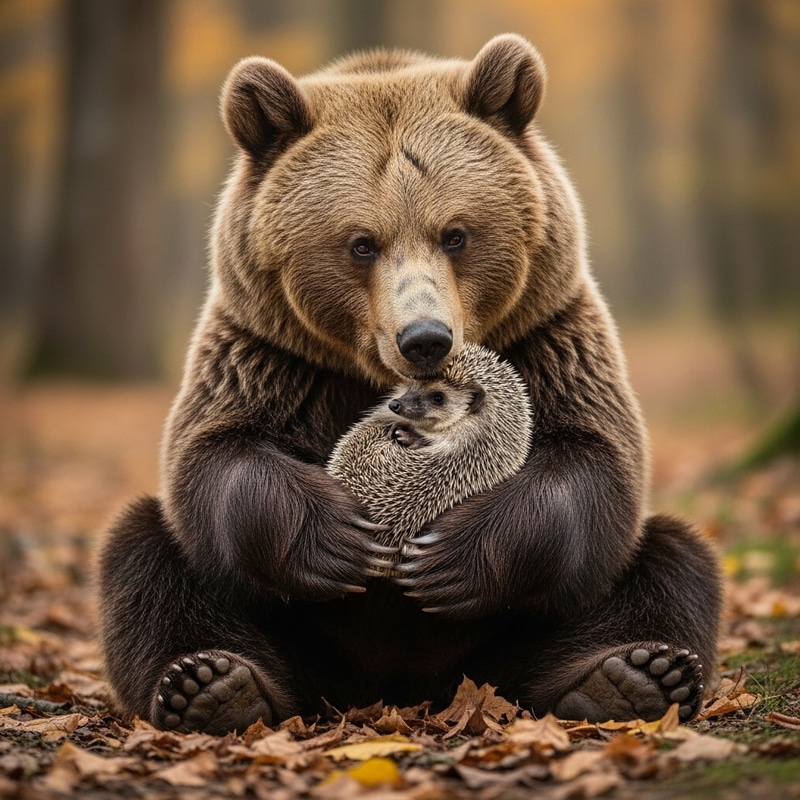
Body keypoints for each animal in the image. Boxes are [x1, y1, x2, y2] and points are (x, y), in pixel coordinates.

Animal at [98, 34, 722, 735]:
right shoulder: (269, 356)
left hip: (506, 638)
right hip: (306, 633)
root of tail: (401, 688)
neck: (367, 373)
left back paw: (629, 675)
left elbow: (593, 460)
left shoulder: (548, 337)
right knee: (146, 559)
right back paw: (212, 683)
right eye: (361, 243)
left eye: (455, 233)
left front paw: (446, 556)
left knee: (672, 559)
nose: (425, 338)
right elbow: (214, 455)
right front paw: (341, 535)